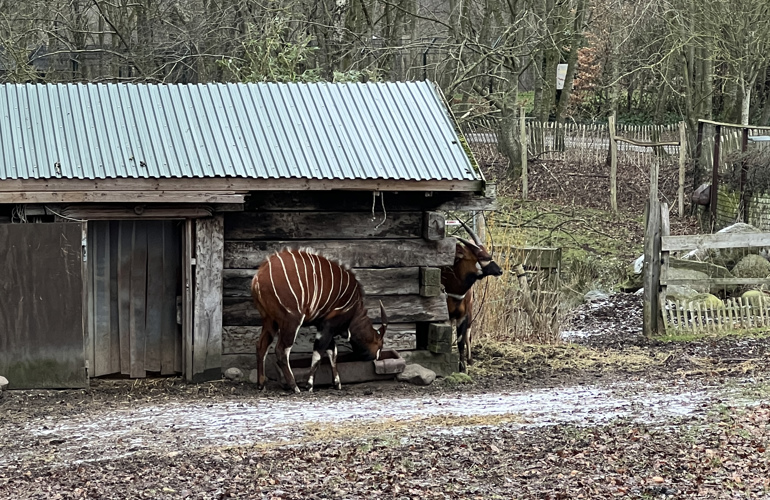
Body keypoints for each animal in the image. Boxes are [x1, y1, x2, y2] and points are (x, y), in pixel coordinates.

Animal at [250, 248, 388, 392]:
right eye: (380, 345)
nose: (377, 358)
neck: (354, 308)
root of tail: (258, 278)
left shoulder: (323, 325)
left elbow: (332, 352)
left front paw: (337, 383)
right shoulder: (329, 324)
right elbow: (319, 353)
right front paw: (309, 385)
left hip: (269, 320)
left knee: (261, 346)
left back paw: (261, 384)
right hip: (291, 321)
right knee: (281, 350)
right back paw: (295, 387)